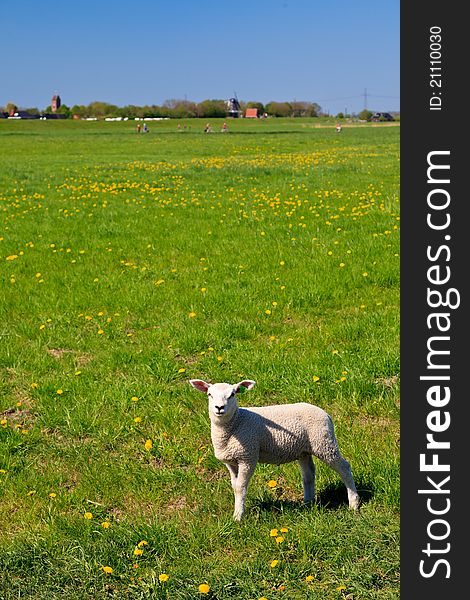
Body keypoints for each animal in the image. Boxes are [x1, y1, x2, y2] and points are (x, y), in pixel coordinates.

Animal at [189, 380, 358, 520]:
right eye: (209, 394)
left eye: (232, 394)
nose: (219, 408)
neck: (235, 423)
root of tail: (326, 414)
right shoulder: (231, 462)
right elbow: (234, 486)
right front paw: (238, 511)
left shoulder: (248, 456)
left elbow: (241, 487)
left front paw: (238, 517)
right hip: (304, 450)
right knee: (309, 475)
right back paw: (308, 504)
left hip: (324, 442)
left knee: (344, 467)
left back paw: (354, 503)